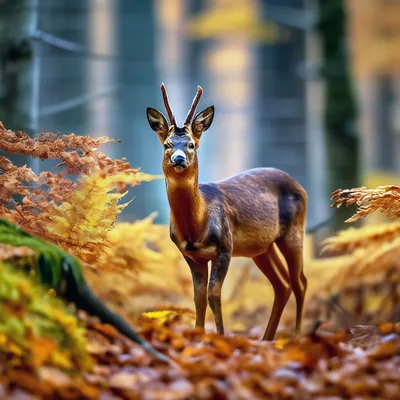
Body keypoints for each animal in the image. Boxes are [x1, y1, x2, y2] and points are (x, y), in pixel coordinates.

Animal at [146, 84, 306, 340]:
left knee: (300, 282)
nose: (178, 159)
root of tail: (299, 185)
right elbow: (198, 297)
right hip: (263, 248)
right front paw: (198, 334)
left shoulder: (225, 246)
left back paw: (297, 336)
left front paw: (220, 336)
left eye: (191, 144)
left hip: (294, 232)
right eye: (167, 144)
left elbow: (213, 294)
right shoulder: (190, 255)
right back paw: (267, 339)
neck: (196, 225)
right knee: (283, 285)